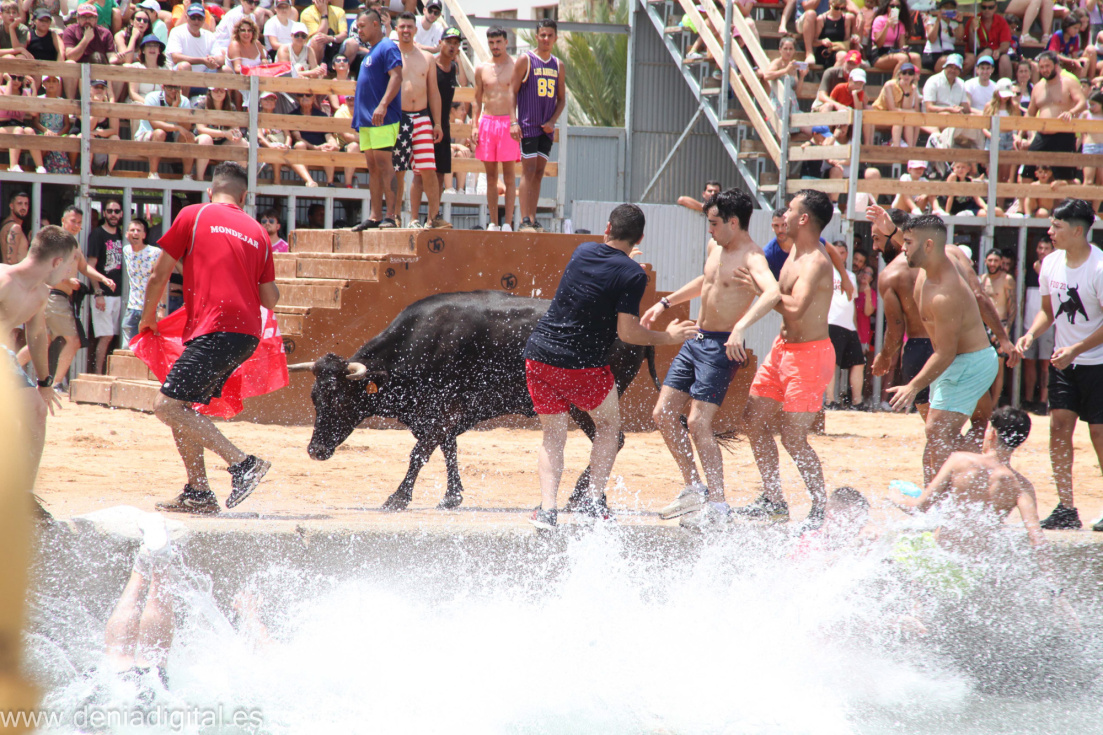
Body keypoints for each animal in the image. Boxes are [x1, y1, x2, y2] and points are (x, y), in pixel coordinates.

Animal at [289, 291, 659, 511]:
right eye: (315, 399)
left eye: (339, 400)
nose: (314, 451)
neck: (420, 341)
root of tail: (634, 326)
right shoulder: (445, 415)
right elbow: (448, 449)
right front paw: (452, 496)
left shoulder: (440, 411)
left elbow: (420, 453)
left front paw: (398, 497)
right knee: (607, 442)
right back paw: (593, 498)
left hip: (587, 402)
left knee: (613, 440)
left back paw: (578, 498)